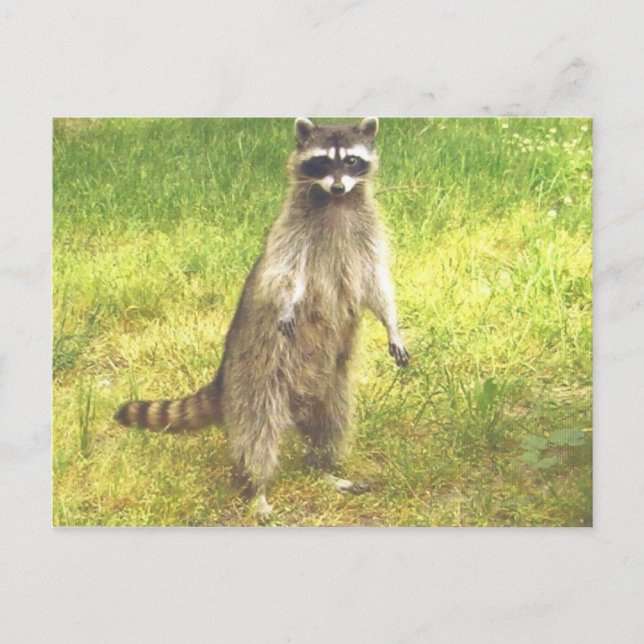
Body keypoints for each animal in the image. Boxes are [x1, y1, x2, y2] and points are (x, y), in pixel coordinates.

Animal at [115, 117, 410, 518]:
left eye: (351, 160)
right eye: (321, 161)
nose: (337, 185)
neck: (335, 202)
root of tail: (223, 377)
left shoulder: (368, 236)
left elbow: (378, 283)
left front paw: (392, 325)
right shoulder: (291, 234)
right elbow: (284, 276)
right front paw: (286, 304)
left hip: (333, 382)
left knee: (332, 422)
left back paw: (324, 469)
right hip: (257, 376)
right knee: (258, 431)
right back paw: (258, 486)